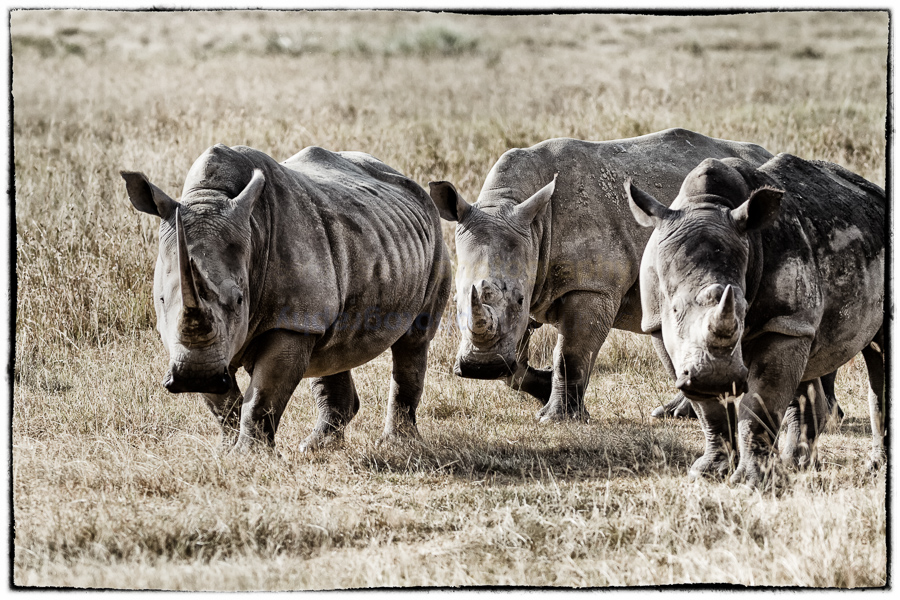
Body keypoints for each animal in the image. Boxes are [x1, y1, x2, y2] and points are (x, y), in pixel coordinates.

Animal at [122, 144, 451, 452]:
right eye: (161, 301)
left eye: (240, 300)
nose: (193, 378)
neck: (212, 197)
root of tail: (405, 178)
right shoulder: (195, 346)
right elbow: (223, 403)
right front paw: (226, 451)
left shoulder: (290, 320)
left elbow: (262, 396)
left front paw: (248, 457)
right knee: (331, 347)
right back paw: (318, 446)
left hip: (435, 241)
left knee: (414, 339)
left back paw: (398, 445)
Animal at [428, 128, 777, 422]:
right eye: (457, 301)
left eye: (519, 299)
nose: (479, 368)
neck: (515, 207)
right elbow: (515, 364)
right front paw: (542, 387)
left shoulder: (592, 288)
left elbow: (569, 352)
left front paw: (557, 418)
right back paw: (674, 412)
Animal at [626, 154, 885, 487]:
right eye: (674, 310)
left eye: (743, 307)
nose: (717, 376)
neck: (707, 205)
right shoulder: (657, 326)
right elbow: (709, 409)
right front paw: (709, 472)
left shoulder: (781, 321)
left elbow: (759, 403)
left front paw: (751, 482)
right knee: (808, 363)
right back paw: (797, 465)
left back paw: (873, 468)